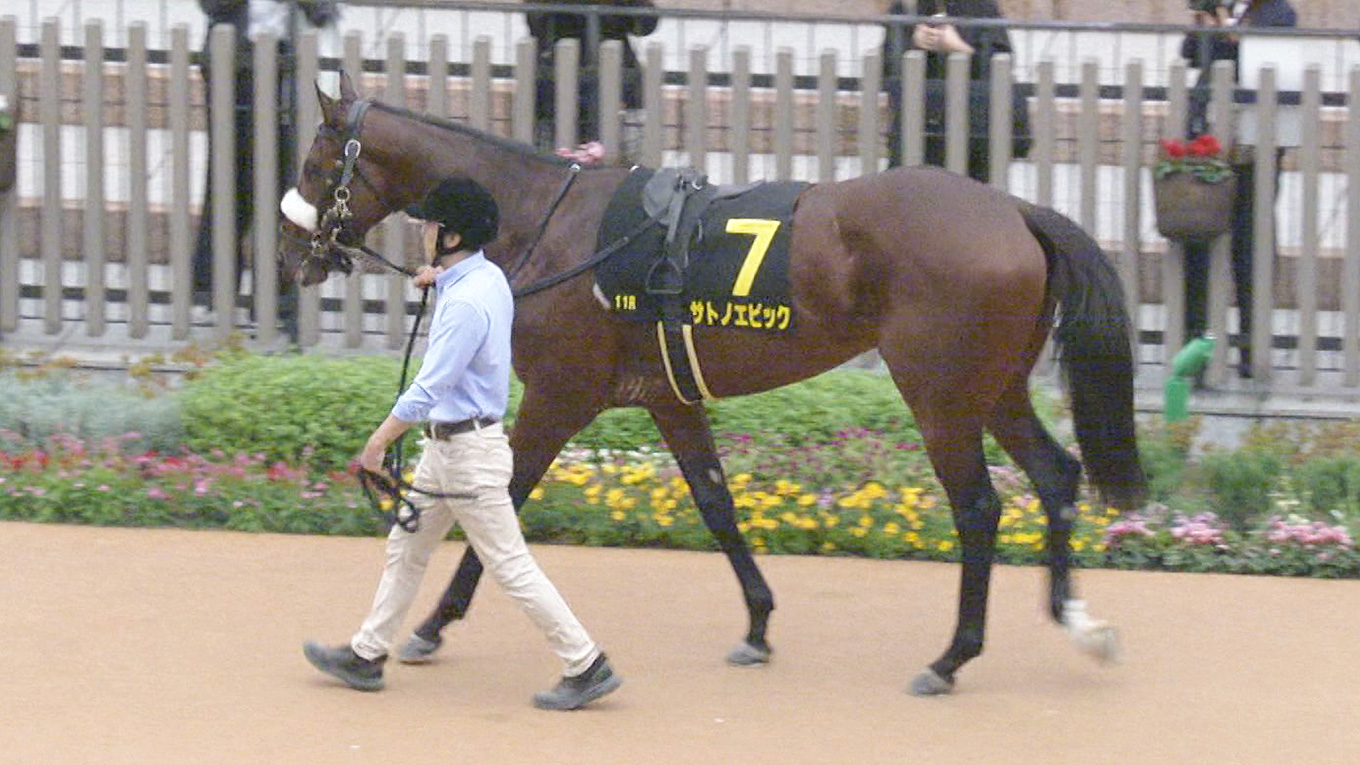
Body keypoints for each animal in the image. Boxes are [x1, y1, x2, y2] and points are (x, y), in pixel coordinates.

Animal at [278, 73, 1146, 696]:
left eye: (317, 165)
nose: (291, 255)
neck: (546, 224)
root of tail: (1017, 210)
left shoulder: (560, 394)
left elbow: (503, 504)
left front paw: (431, 624)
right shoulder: (668, 398)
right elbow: (715, 502)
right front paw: (758, 625)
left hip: (940, 396)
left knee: (979, 508)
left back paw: (951, 657)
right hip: (993, 388)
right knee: (1056, 475)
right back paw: (1079, 619)